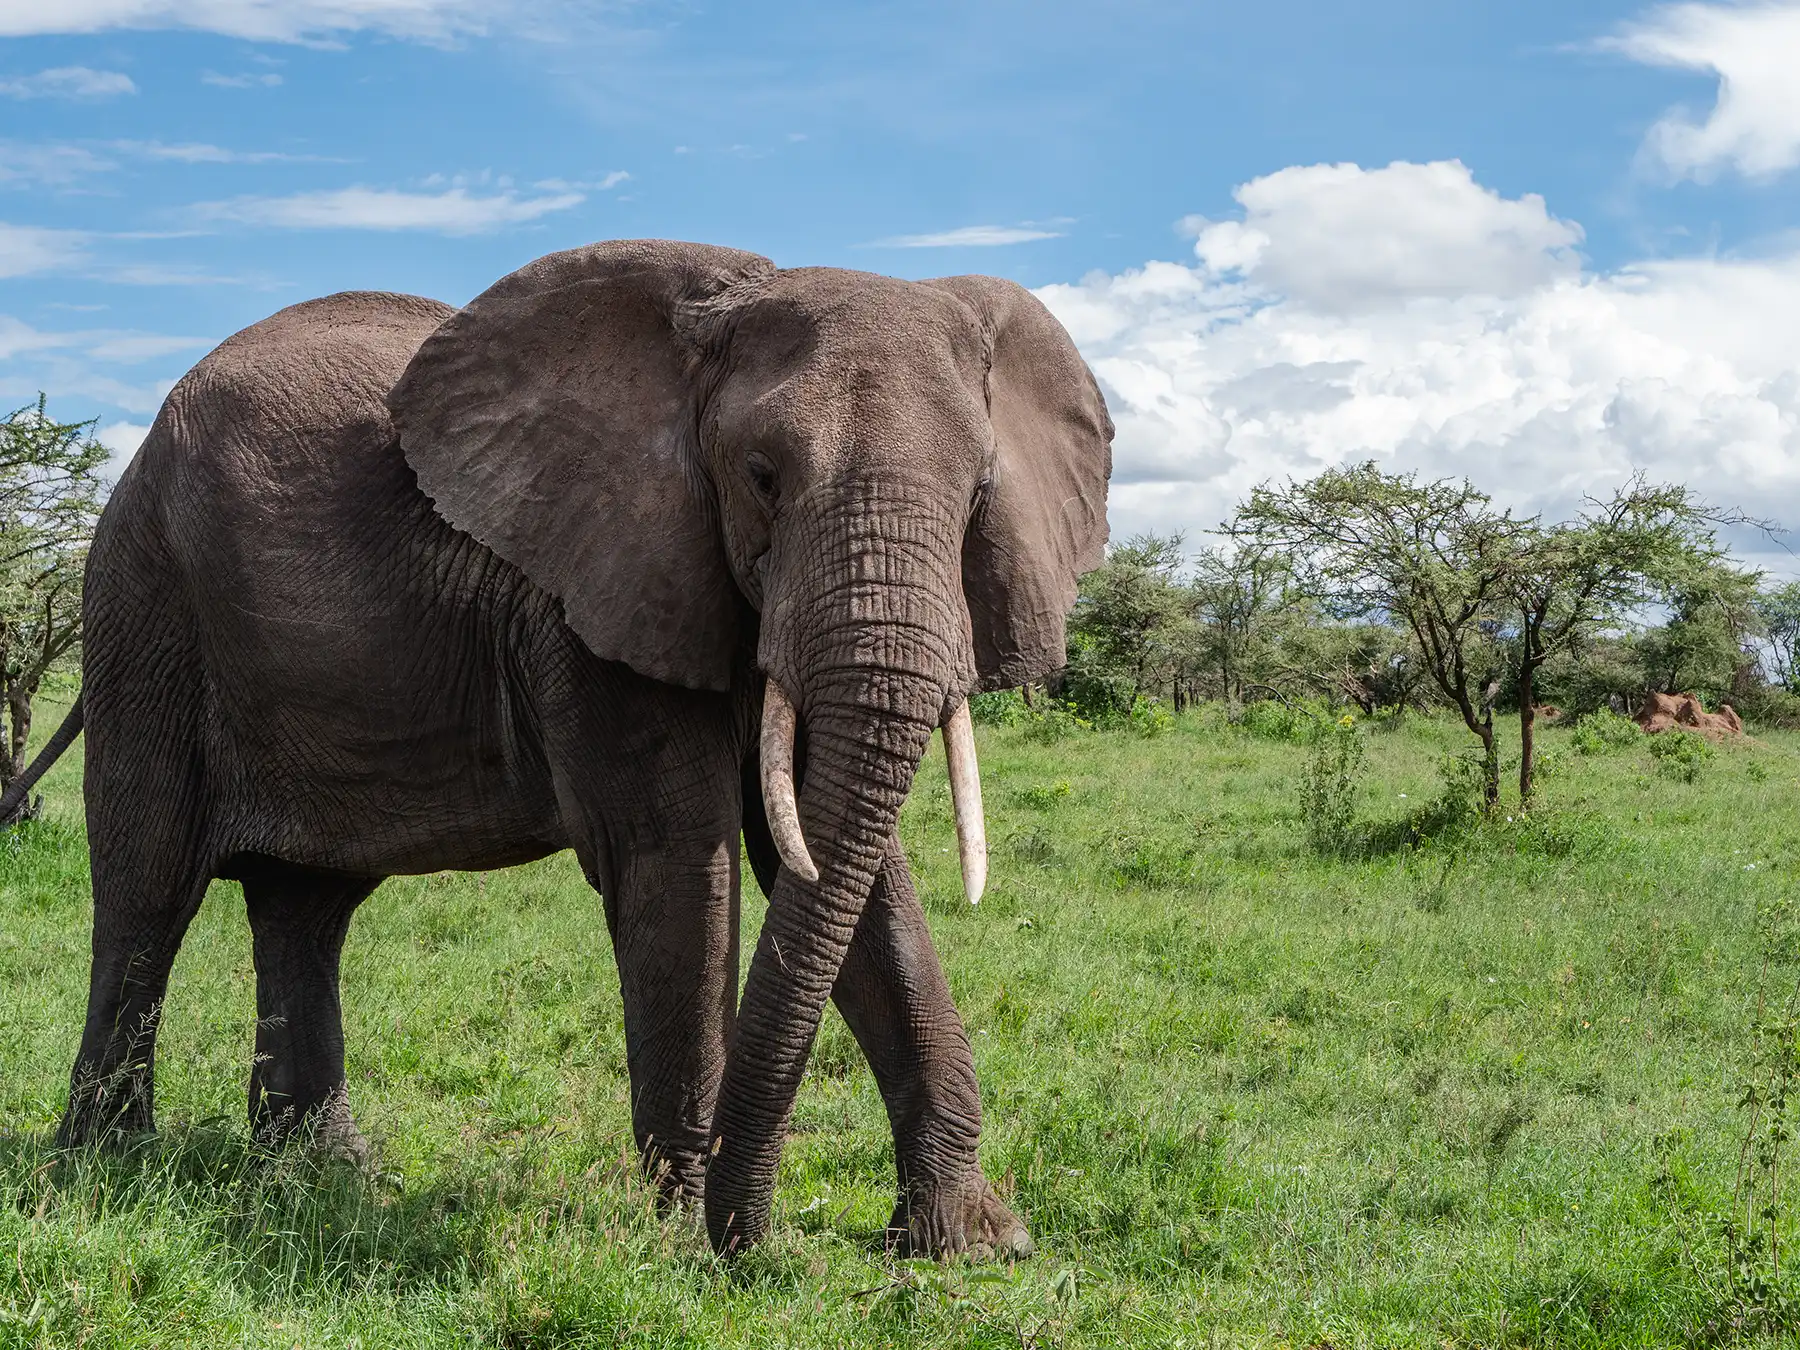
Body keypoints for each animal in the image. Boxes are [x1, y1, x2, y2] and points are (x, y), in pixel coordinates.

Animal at [3, 237, 1108, 1267]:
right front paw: (686, 1248)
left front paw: (972, 1246)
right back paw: (110, 1172)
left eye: (980, 494)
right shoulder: (590, 599)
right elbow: (680, 858)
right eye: (761, 478)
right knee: (149, 886)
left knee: (305, 907)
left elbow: (855, 874)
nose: (760, 1240)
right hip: (145, 604)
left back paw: (322, 1181)